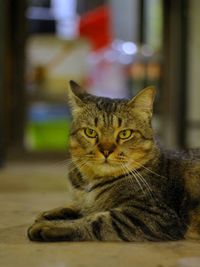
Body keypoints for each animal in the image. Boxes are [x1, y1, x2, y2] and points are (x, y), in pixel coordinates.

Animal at [27, 80, 200, 242]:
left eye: (125, 134)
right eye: (90, 132)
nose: (106, 151)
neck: (90, 181)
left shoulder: (153, 215)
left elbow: (96, 220)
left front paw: (51, 225)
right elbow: (80, 207)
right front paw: (52, 213)